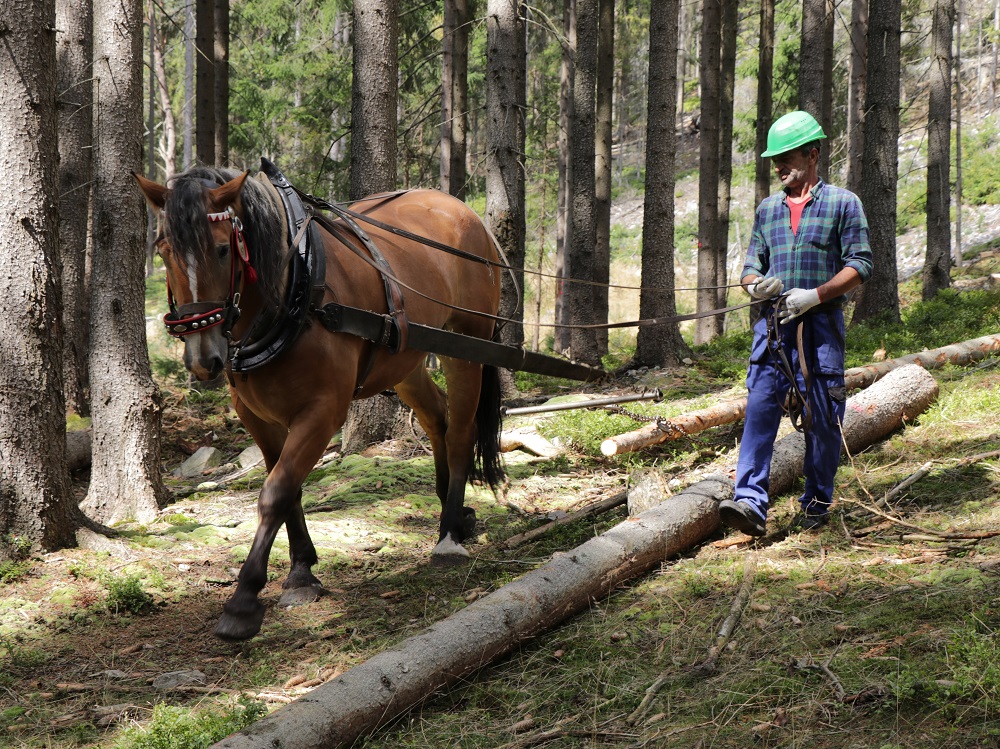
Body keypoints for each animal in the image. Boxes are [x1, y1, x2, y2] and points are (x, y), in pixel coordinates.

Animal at [137, 162, 504, 636]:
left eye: (221, 250)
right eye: (164, 251)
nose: (204, 359)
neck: (293, 292)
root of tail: (464, 211)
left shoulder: (324, 412)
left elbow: (275, 492)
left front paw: (244, 599)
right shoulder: (256, 417)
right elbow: (287, 489)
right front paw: (301, 572)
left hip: (468, 345)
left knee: (460, 430)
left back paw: (449, 537)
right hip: (406, 359)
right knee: (436, 416)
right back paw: (453, 513)